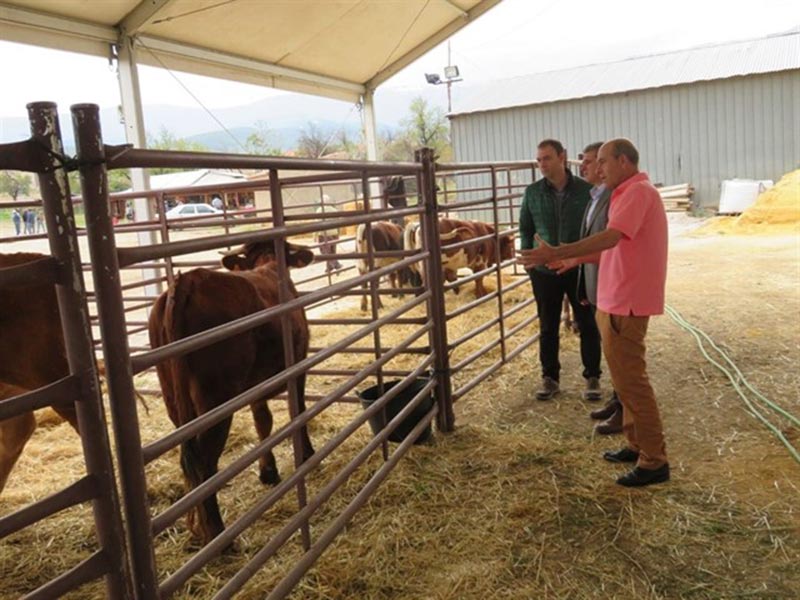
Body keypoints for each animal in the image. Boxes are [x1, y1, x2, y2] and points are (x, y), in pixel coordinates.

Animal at [148, 238, 314, 544]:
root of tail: (187, 282)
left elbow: (263, 421)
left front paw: (268, 471)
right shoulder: (299, 364)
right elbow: (297, 410)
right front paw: (306, 454)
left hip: (175, 400)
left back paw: (199, 530)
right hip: (215, 398)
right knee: (204, 462)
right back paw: (218, 534)